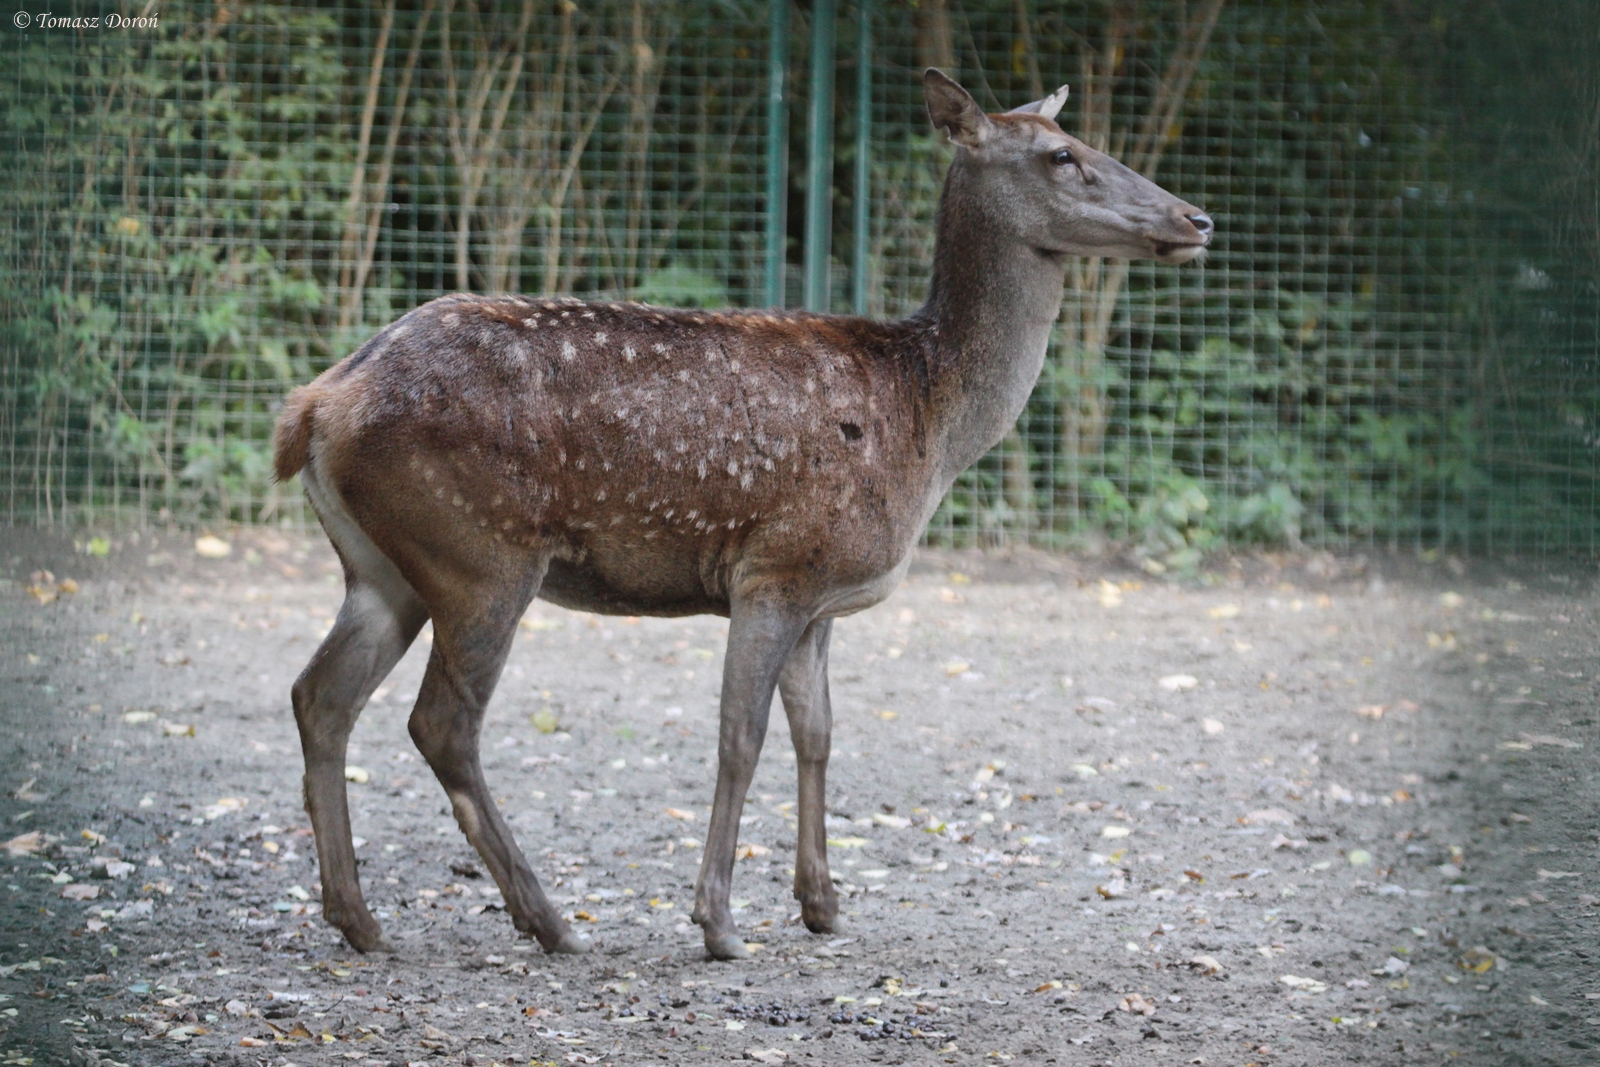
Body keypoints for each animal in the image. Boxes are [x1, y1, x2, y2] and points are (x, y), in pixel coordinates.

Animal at [272, 69, 1211, 962]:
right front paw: (720, 923)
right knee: (441, 723)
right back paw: (549, 919)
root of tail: (315, 406)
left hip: (383, 569)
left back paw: (360, 919)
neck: (930, 420)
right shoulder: (777, 568)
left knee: (320, 695)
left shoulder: (824, 596)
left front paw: (823, 904)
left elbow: (818, 733)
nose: (1197, 217)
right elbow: (740, 735)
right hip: (480, 555)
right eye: (1062, 154)